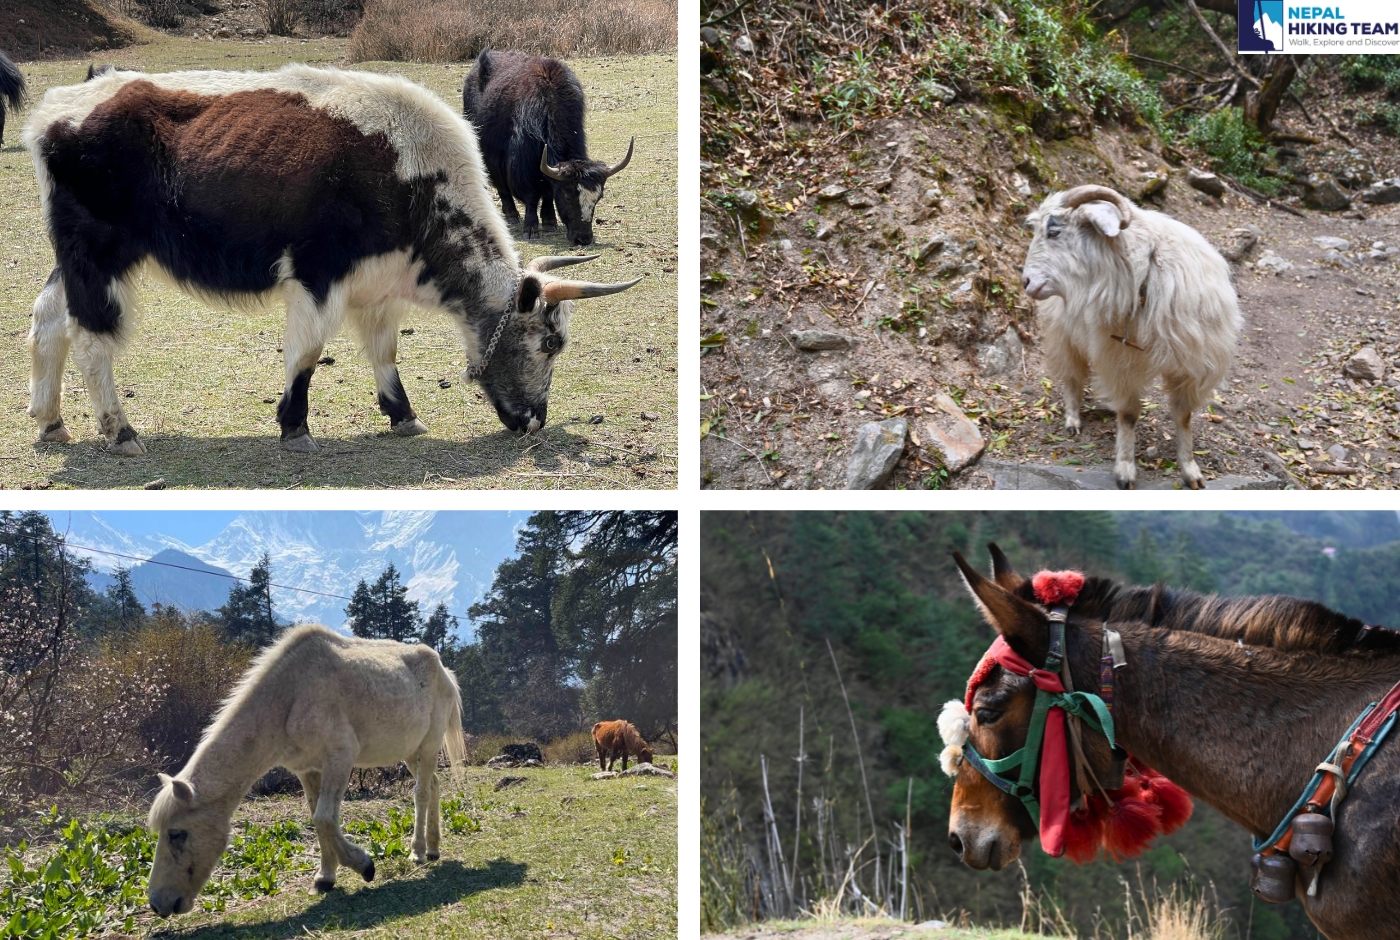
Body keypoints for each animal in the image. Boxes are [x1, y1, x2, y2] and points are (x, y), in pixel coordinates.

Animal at [1024, 186, 1243, 490]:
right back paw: (1073, 419)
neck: (1145, 274)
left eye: (1054, 231)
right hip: (1062, 333)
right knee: (1071, 377)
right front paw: (1125, 470)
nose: (1026, 282)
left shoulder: (1190, 365)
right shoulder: (1121, 362)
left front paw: (1190, 470)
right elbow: (1128, 415)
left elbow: (1184, 416)